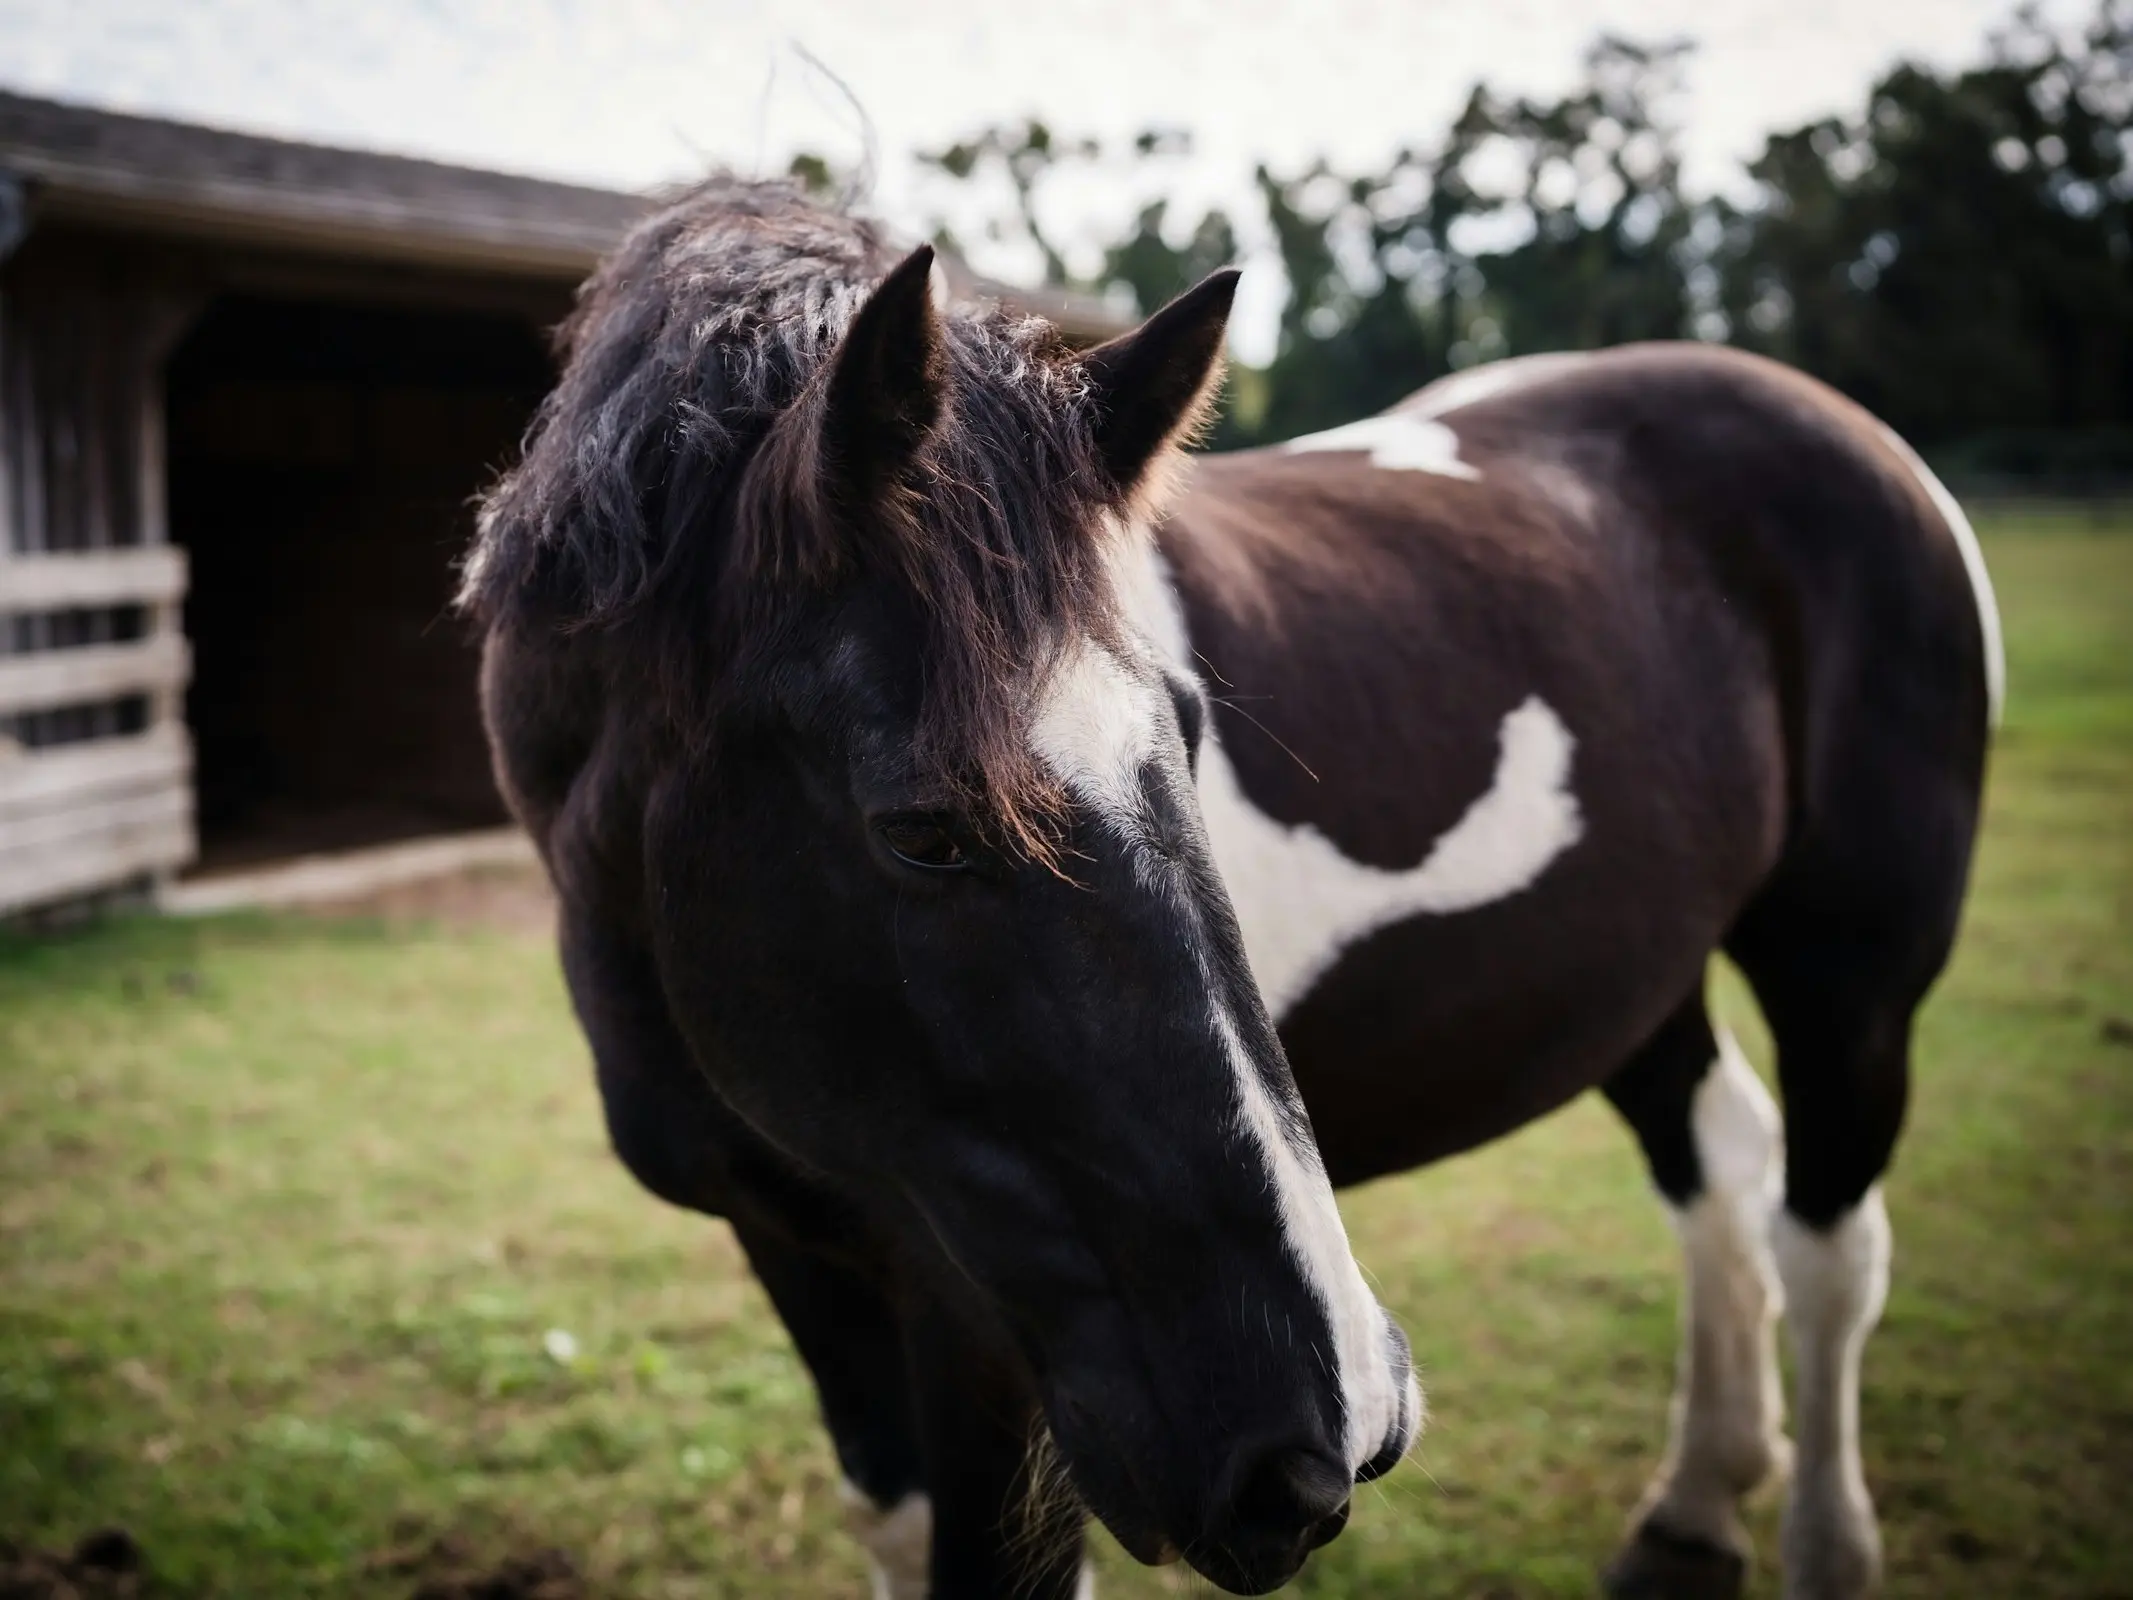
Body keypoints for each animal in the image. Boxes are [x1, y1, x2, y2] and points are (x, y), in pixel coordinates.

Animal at [462, 178, 1996, 1600]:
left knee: (1828, 1241)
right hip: (1634, 972)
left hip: (1854, 981)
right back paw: (1695, 1504)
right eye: (923, 830)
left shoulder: (984, 1328)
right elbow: (890, 1521)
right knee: (1720, 1165)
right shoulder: (800, 1242)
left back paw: (1822, 1543)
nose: (1326, 1440)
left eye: (1193, 734)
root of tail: (1858, 437)